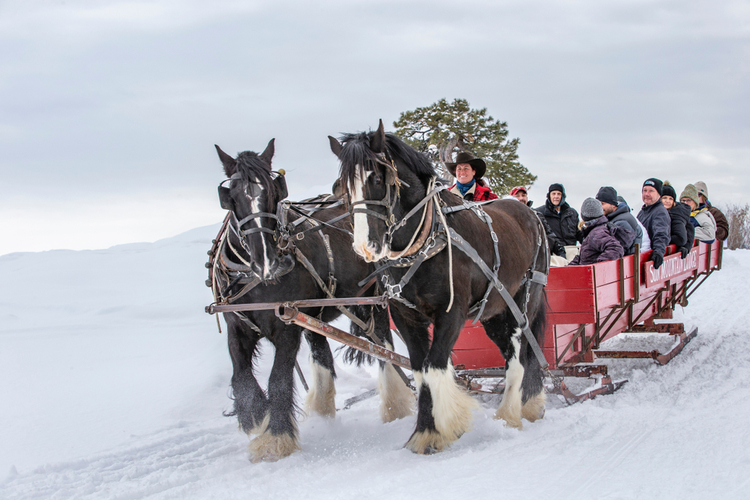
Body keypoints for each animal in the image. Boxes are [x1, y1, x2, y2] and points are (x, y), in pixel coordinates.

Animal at [212, 139, 414, 462]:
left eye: (275, 192)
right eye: (232, 196)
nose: (268, 263)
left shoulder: (287, 328)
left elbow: (279, 380)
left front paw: (276, 438)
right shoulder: (238, 326)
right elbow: (241, 378)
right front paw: (256, 416)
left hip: (373, 302)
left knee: (384, 347)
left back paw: (395, 406)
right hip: (315, 315)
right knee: (323, 357)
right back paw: (323, 414)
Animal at [332, 124, 548, 454]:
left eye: (377, 179)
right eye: (344, 186)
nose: (365, 246)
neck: (425, 241)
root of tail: (528, 212)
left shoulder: (451, 313)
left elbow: (434, 366)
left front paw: (437, 430)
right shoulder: (406, 317)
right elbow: (421, 370)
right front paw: (426, 430)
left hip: (522, 304)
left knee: (520, 361)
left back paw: (510, 415)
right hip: (494, 314)